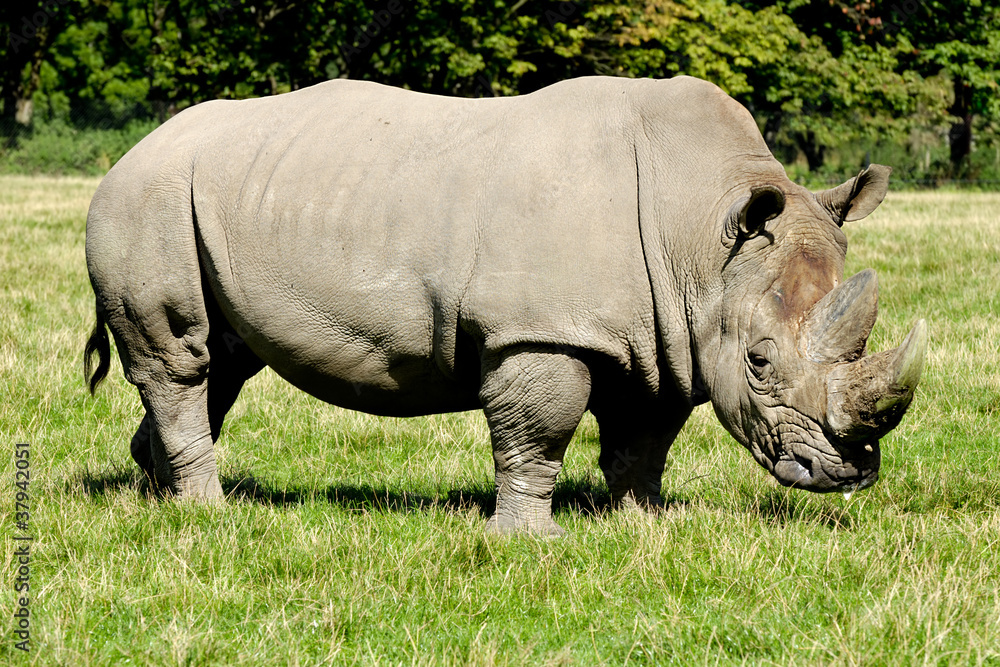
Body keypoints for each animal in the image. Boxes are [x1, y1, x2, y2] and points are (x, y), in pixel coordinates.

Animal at [84, 75, 926, 536]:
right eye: (759, 361)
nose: (847, 470)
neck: (701, 232)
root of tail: (129, 151)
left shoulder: (667, 335)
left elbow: (644, 439)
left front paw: (646, 521)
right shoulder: (542, 331)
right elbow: (538, 433)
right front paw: (529, 539)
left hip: (205, 198)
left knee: (218, 365)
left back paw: (156, 499)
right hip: (148, 199)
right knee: (183, 358)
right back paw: (207, 513)